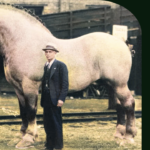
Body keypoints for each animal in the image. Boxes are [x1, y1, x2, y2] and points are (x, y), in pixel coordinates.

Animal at [0, 4, 136, 148]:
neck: (23, 41)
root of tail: (122, 42)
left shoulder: (30, 85)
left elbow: (31, 110)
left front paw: (29, 137)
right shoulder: (18, 88)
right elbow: (23, 111)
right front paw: (21, 135)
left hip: (119, 84)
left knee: (129, 103)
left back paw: (128, 136)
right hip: (111, 84)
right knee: (119, 105)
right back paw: (118, 135)